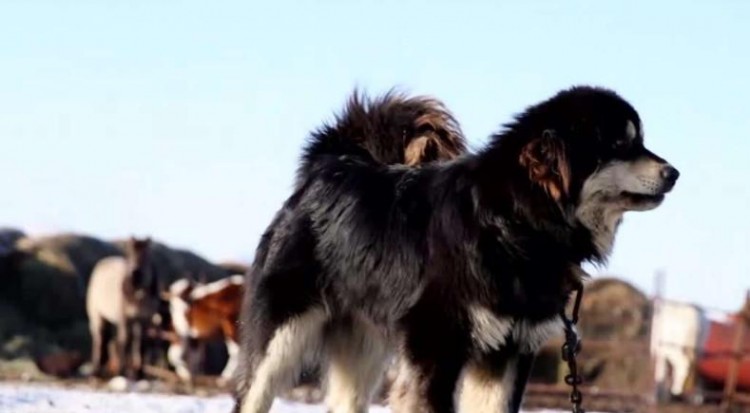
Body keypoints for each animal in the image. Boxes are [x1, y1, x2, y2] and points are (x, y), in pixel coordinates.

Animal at [86, 237, 159, 378]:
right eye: (129, 254)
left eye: (146, 255)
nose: (135, 275)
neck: (138, 297)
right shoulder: (124, 319)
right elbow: (124, 342)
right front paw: (121, 371)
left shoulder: (144, 320)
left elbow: (141, 344)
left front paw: (140, 373)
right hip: (97, 316)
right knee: (99, 340)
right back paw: (96, 370)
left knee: (108, 341)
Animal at [235, 85, 680, 410]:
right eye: (620, 145)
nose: (674, 172)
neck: (513, 222)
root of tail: (330, 165)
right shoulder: (437, 347)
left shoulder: (508, 352)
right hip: (278, 342)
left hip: (362, 351)